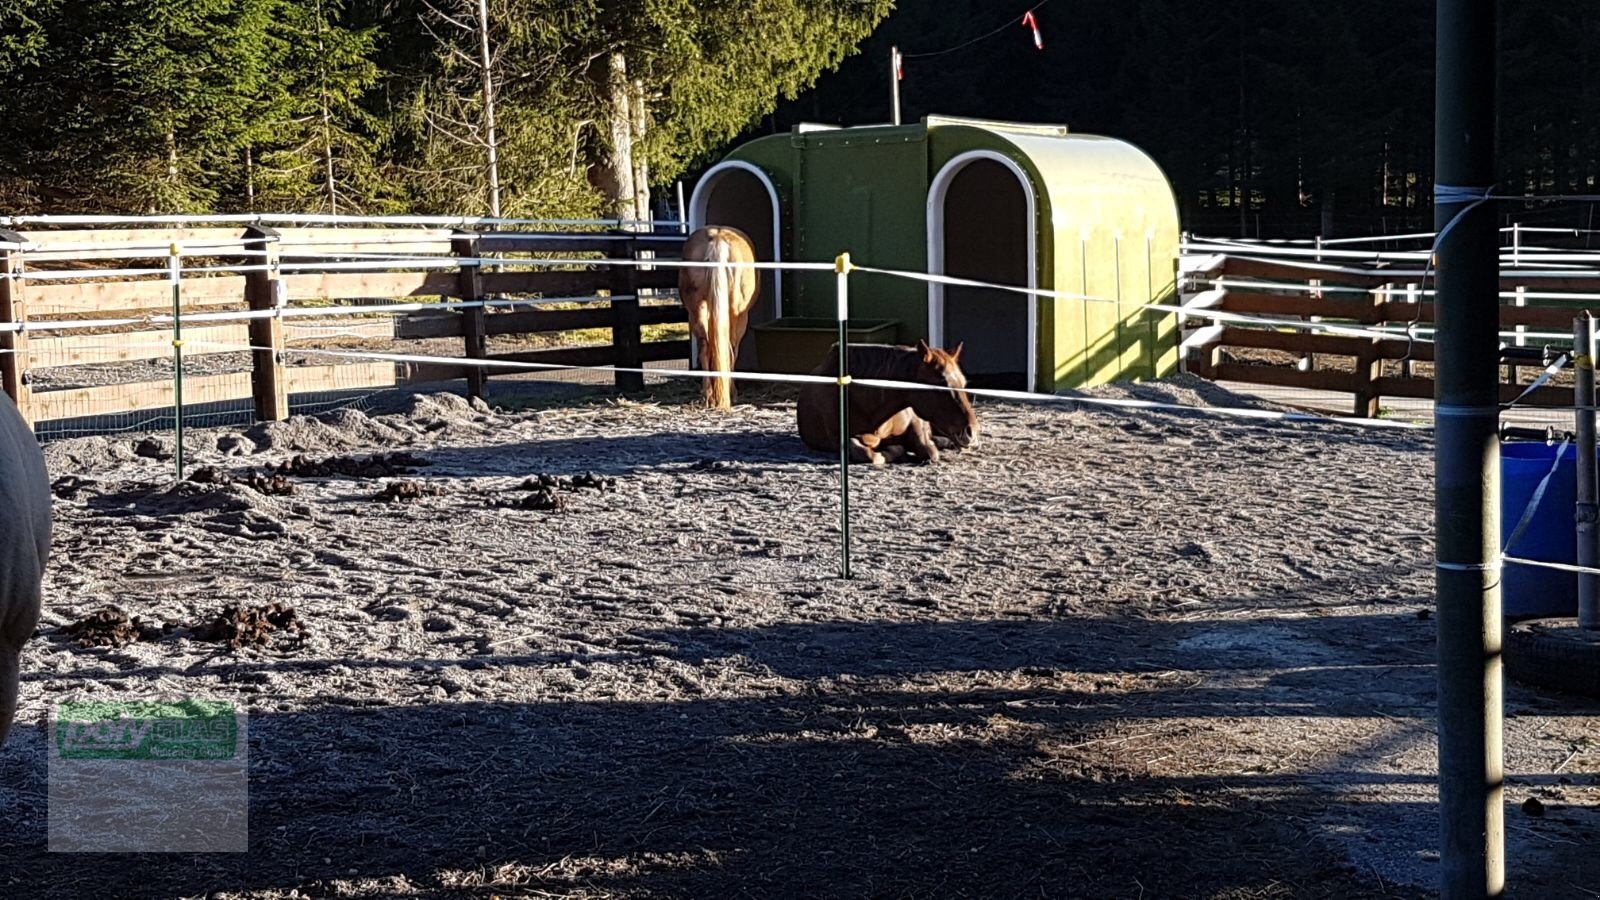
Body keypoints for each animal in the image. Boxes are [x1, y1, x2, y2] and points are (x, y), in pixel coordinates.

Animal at [678, 225, 758, 408]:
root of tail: (717, 238)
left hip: (697, 310)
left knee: (705, 346)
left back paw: (708, 395)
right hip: (736, 314)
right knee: (730, 348)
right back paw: (730, 393)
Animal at [796, 336, 972, 461]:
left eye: (963, 383)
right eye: (942, 385)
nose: (971, 431)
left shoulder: (916, 421)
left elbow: (929, 450)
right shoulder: (837, 439)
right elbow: (865, 453)